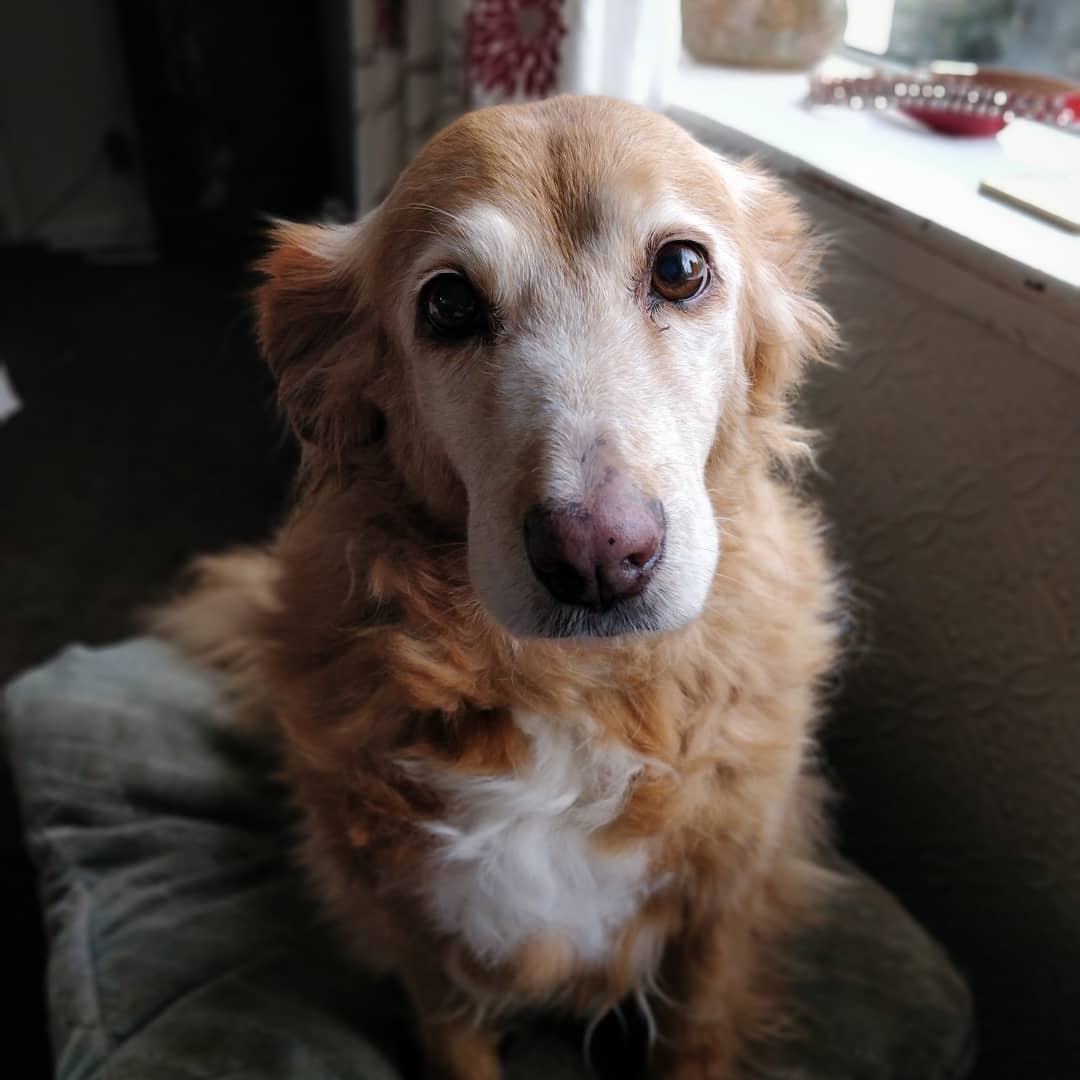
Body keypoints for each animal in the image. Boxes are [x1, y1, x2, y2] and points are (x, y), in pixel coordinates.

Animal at [153, 95, 840, 1079]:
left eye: (680, 268)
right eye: (447, 303)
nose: (599, 555)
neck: (570, 690)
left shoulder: (721, 921)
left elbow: (695, 1039)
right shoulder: (423, 942)